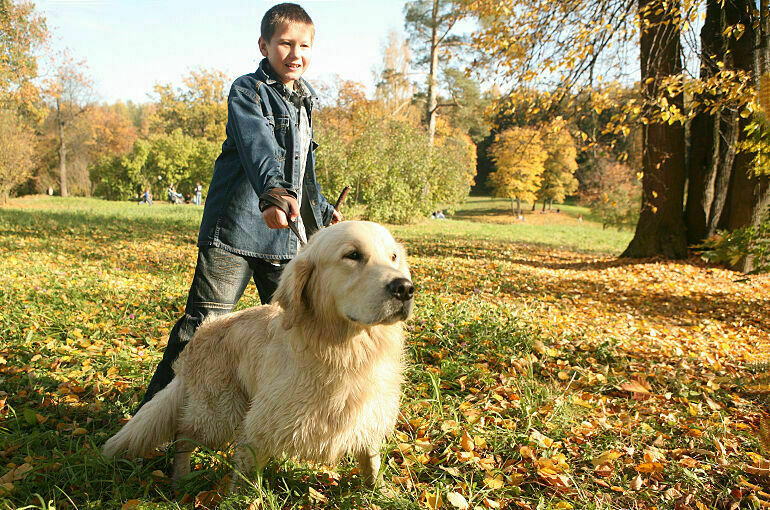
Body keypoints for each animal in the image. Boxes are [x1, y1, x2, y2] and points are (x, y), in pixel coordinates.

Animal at [103, 220, 414, 490]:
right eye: (352, 255)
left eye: (393, 256)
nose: (405, 288)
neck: (345, 350)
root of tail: (201, 333)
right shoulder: (260, 424)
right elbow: (246, 475)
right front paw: (240, 499)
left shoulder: (368, 414)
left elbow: (371, 459)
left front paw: (378, 491)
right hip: (221, 413)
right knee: (183, 435)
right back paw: (181, 480)